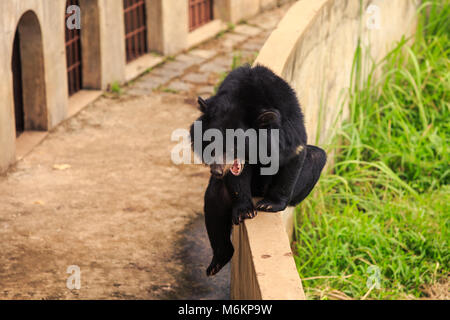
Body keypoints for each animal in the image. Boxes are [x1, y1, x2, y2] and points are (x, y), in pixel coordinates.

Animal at [190, 64, 326, 276]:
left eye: (233, 146)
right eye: (210, 143)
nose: (217, 171)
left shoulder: (287, 128)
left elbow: (294, 154)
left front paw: (269, 205)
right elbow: (237, 181)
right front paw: (245, 211)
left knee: (316, 157)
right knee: (214, 201)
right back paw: (217, 262)